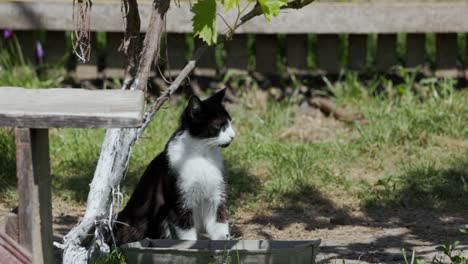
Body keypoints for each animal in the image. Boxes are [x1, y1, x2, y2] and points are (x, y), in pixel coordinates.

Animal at [112, 89, 236, 245]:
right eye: (219, 126)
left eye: (230, 123)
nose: (233, 136)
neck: (202, 154)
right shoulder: (178, 201)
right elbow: (186, 232)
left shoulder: (216, 195)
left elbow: (220, 224)